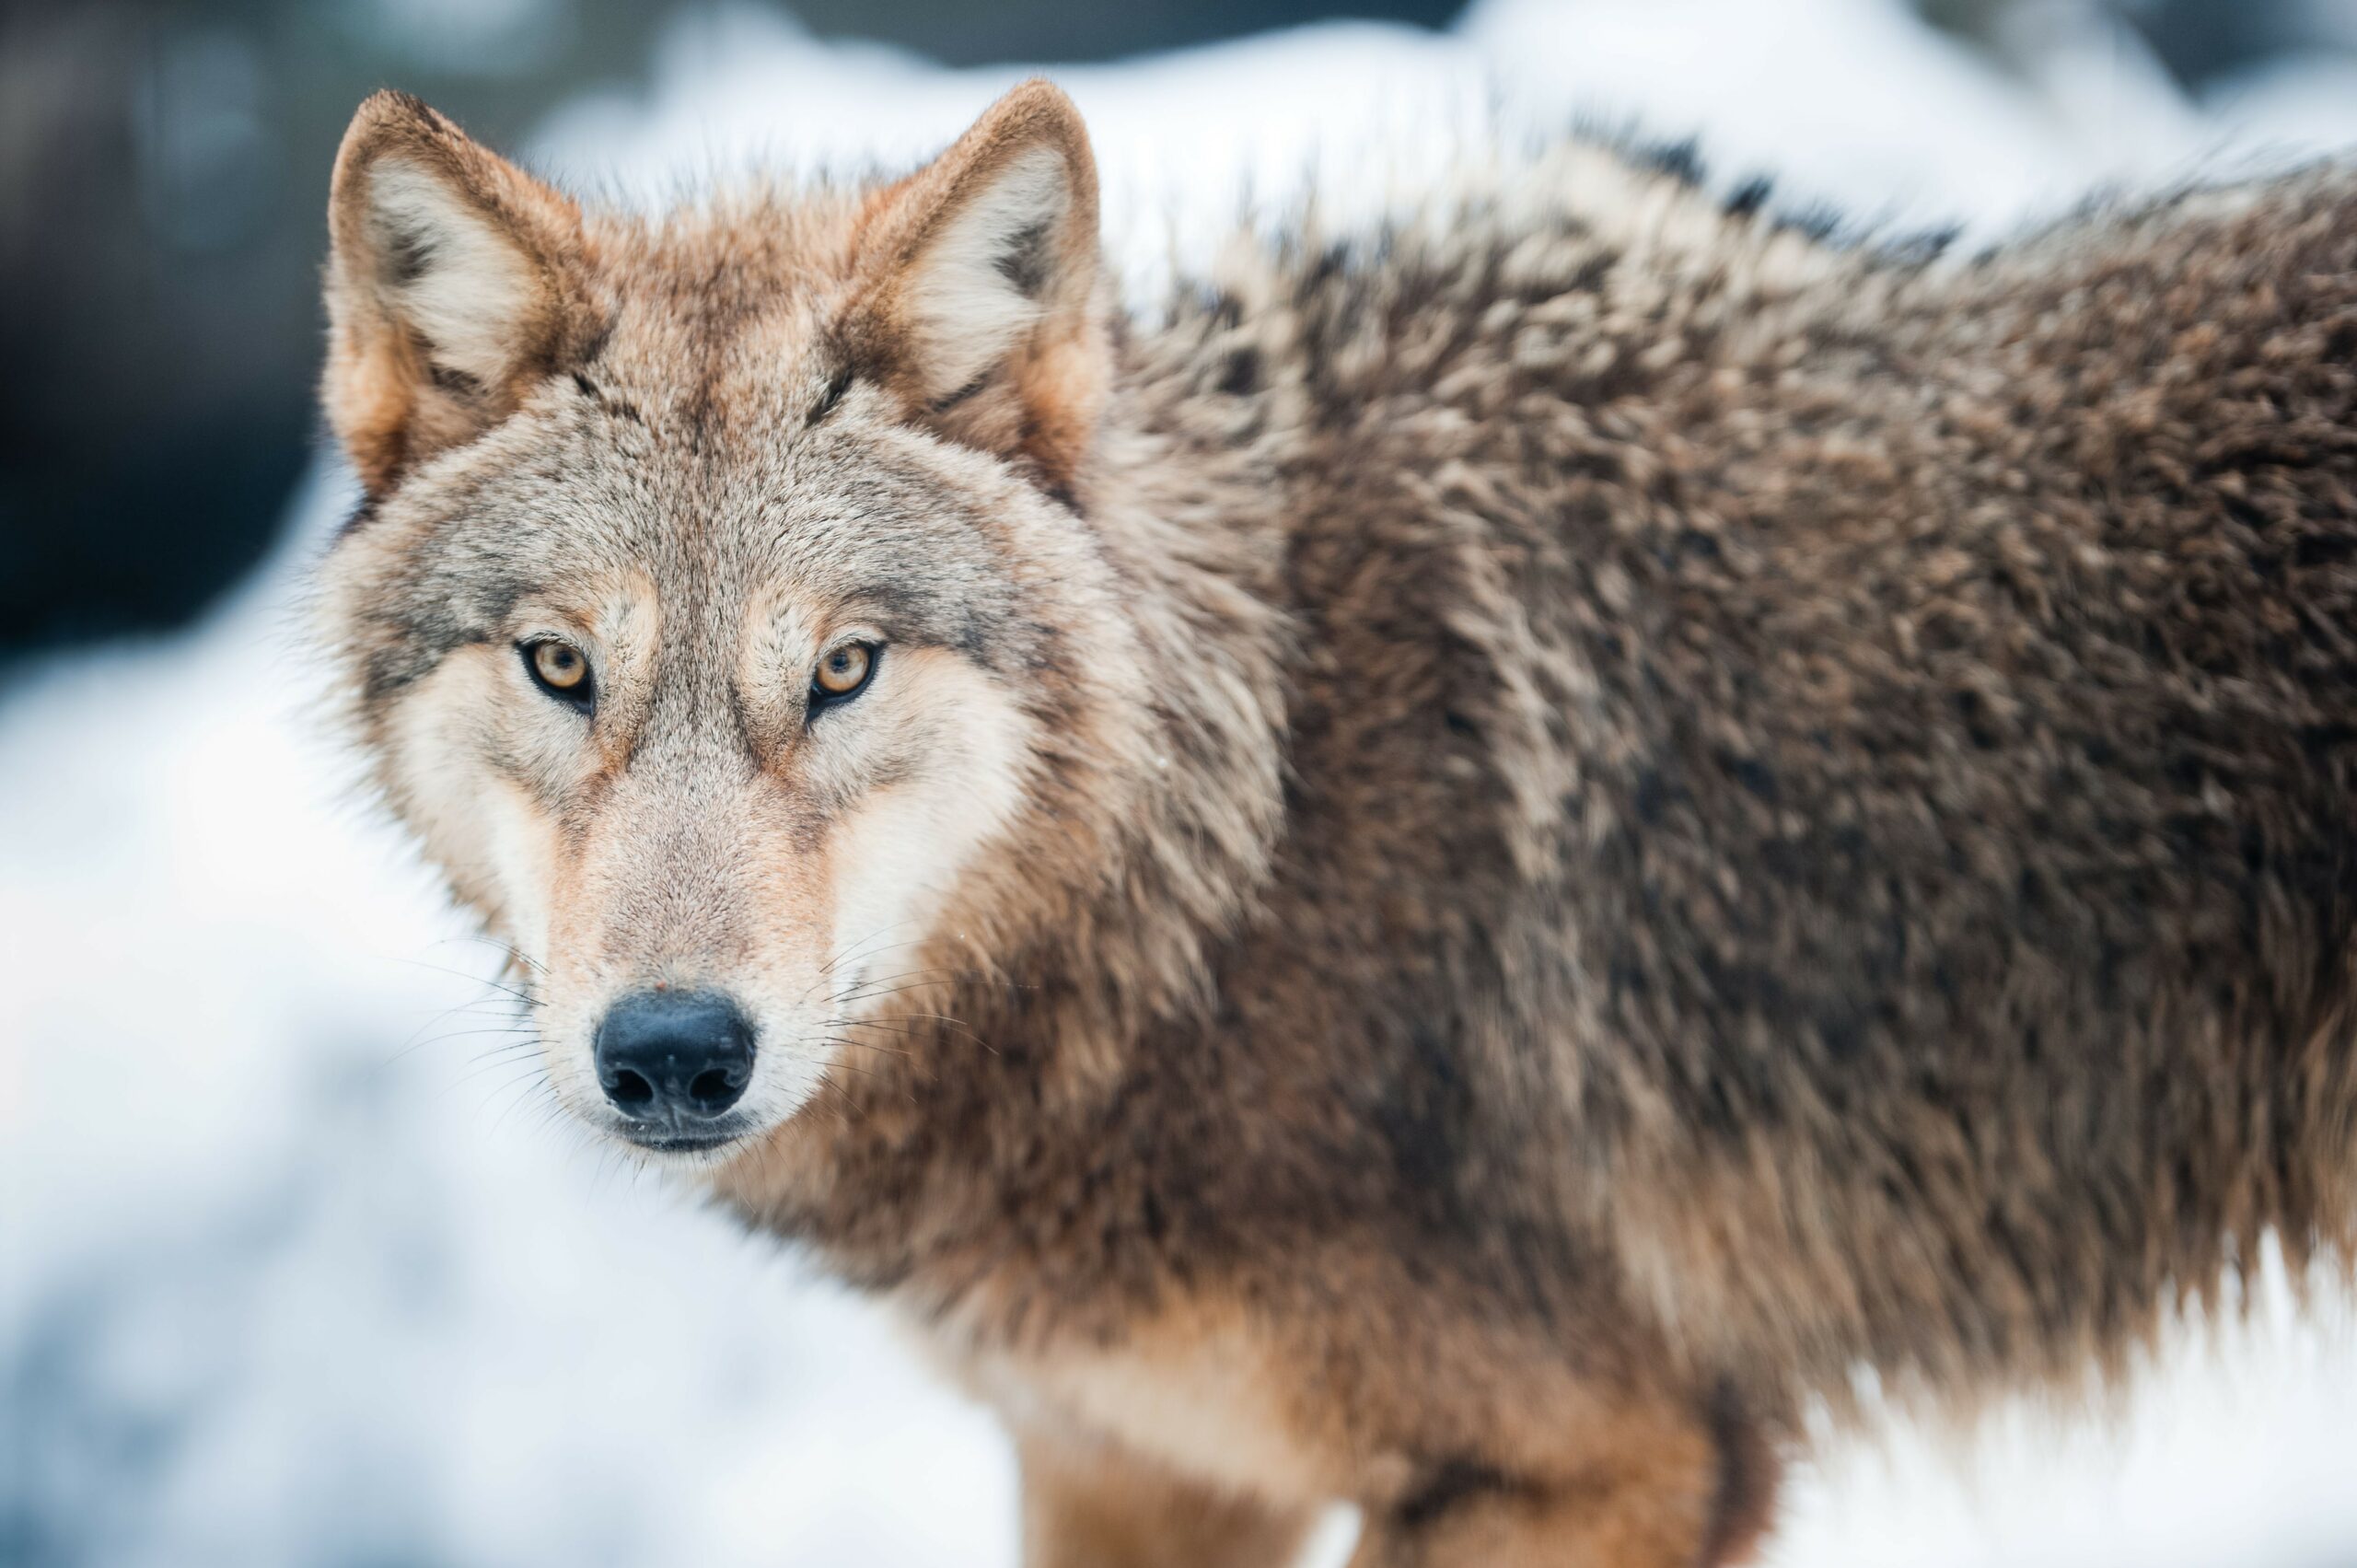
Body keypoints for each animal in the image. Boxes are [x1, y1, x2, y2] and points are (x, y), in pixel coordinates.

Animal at [313, 82, 2357, 1565]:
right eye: (562, 663)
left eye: (842, 667)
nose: (672, 1052)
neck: (1239, 848)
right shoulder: (1126, 1461)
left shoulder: (1606, 1455)